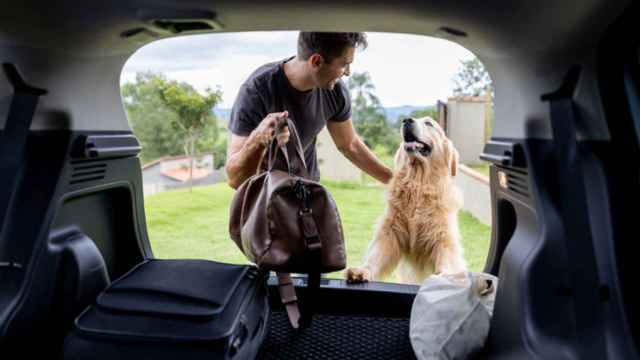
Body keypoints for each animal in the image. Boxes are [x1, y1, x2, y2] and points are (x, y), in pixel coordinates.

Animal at [344, 116, 464, 284]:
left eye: (429, 123)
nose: (406, 120)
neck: (418, 182)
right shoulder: (391, 230)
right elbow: (376, 256)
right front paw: (362, 270)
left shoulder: (443, 235)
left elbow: (447, 258)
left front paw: (444, 277)